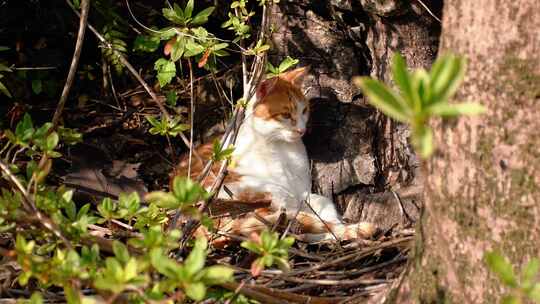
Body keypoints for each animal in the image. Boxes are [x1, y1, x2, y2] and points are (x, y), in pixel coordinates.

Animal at [174, 66, 376, 242]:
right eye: (286, 115)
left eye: (304, 110)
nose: (301, 130)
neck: (282, 147)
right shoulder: (286, 194)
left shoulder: (302, 192)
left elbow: (320, 206)